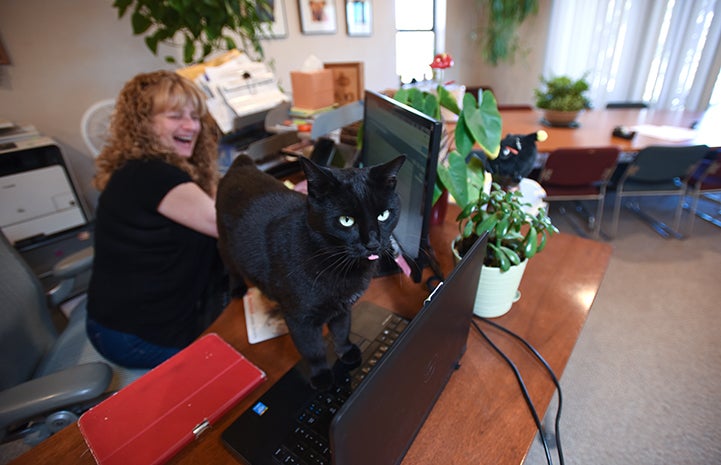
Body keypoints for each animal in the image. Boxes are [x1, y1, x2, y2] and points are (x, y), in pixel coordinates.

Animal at [214, 155, 404, 388]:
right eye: (346, 220)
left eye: (383, 215)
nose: (373, 243)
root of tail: (242, 164)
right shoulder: (299, 318)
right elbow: (312, 349)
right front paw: (321, 376)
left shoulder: (343, 307)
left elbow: (342, 331)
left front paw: (346, 352)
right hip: (225, 244)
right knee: (230, 264)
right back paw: (237, 288)